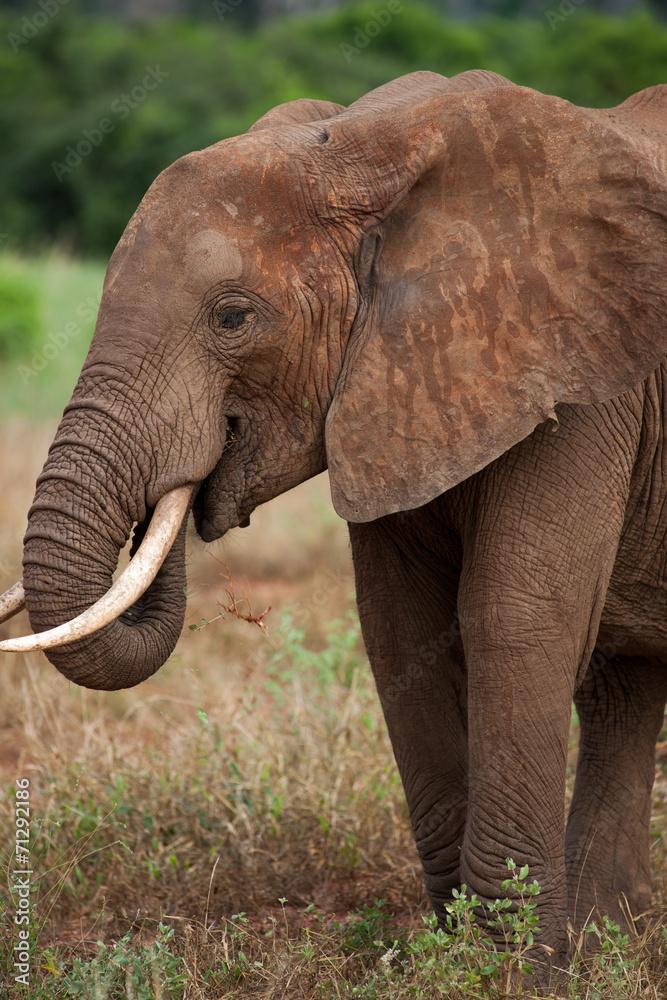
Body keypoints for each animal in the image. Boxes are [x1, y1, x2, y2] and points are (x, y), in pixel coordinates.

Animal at [2, 68, 667, 983]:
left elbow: (514, 621)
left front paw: (506, 976)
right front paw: (464, 956)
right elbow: (400, 632)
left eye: (233, 317)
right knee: (621, 686)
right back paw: (611, 945)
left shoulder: (580, 371)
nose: (183, 483)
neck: (369, 150)